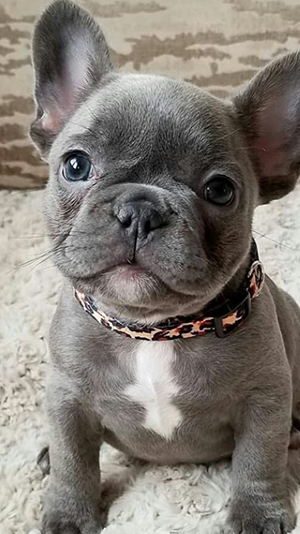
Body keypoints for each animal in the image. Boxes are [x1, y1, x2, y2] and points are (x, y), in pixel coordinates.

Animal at [31, 1, 300, 534]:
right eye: (75, 165)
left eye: (220, 190)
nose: (140, 210)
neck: (153, 332)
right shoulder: (66, 396)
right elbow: (74, 458)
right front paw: (68, 512)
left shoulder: (267, 398)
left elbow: (260, 458)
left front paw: (259, 514)